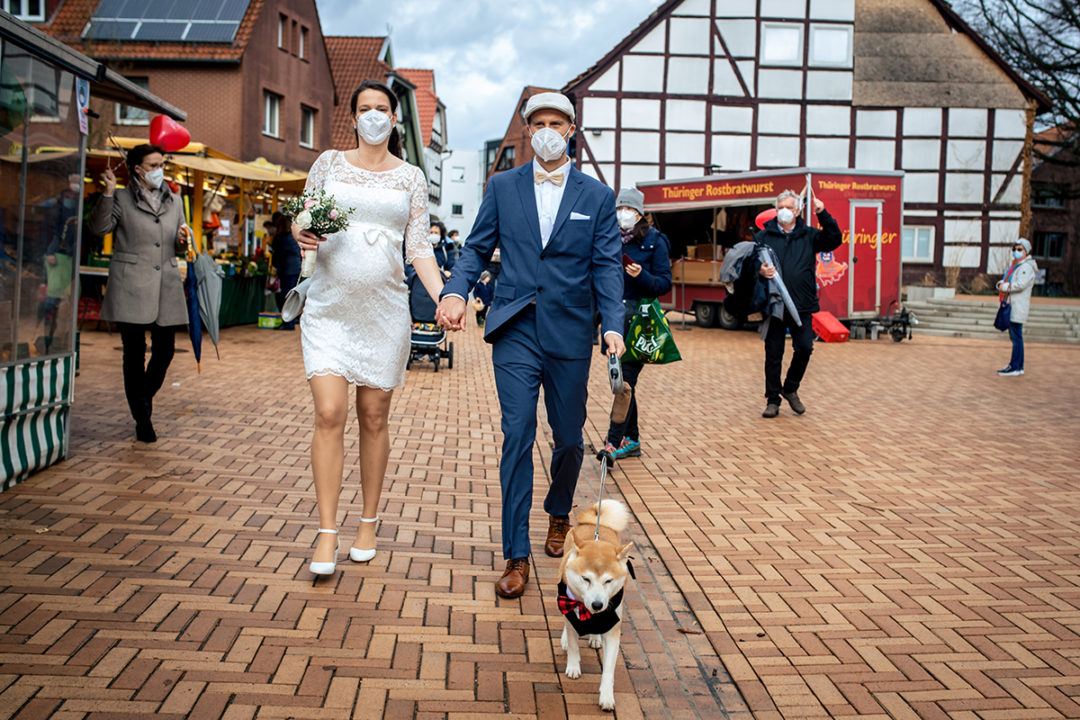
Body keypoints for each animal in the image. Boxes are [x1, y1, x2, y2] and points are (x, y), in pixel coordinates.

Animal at [557, 500, 630, 708]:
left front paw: (606, 695)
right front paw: (573, 666)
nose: (597, 604)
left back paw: (596, 638)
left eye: (608, 581)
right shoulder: (570, 609)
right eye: (586, 579)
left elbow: (609, 669)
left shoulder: (613, 625)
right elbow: (574, 644)